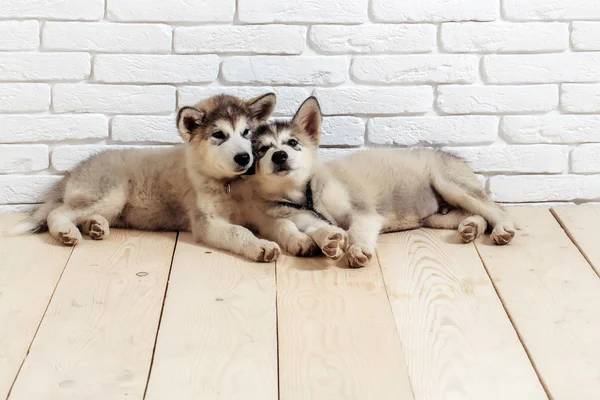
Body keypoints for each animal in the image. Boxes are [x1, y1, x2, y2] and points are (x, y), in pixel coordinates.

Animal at [9, 94, 288, 262]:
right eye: (219, 135)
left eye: (246, 132)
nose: (244, 157)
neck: (230, 184)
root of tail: (75, 170)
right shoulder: (206, 223)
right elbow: (238, 232)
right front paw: (260, 246)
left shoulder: (259, 211)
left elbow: (280, 224)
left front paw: (292, 241)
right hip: (111, 194)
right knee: (58, 213)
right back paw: (67, 232)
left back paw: (96, 226)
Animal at [248, 95, 516, 268]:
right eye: (262, 150)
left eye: (292, 143)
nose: (279, 156)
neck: (305, 195)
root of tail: (451, 156)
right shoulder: (302, 219)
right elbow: (317, 229)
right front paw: (329, 239)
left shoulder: (363, 212)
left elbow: (356, 230)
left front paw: (356, 248)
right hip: (437, 216)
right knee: (474, 213)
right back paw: (471, 227)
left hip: (451, 186)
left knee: (494, 209)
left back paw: (502, 228)